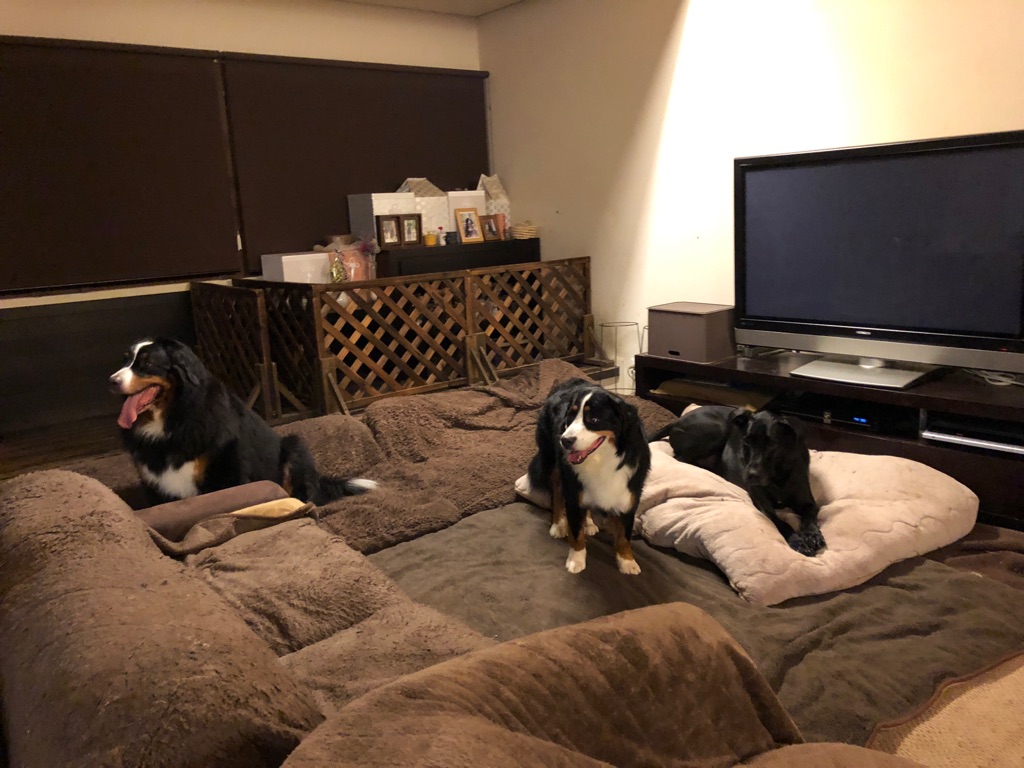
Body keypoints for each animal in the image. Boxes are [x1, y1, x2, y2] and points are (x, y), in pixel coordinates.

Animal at [109, 337, 376, 505]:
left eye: (146, 362)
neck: (174, 417)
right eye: (125, 361)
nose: (112, 381)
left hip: (294, 446)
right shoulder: (157, 486)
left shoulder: (227, 474)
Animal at [527, 378, 651, 575]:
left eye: (593, 420)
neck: (602, 460)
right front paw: (576, 560)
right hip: (552, 463)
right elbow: (576, 533)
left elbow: (624, 536)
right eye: (570, 418)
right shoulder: (573, 494)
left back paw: (590, 523)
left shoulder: (628, 497)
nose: (565, 440)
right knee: (556, 495)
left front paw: (627, 561)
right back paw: (558, 525)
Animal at [650, 405, 825, 556]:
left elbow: (810, 514)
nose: (751, 475)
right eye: (746, 441)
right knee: (679, 459)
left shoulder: (806, 499)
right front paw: (797, 541)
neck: (777, 476)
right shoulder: (762, 503)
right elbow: (780, 522)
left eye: (772, 444)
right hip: (718, 429)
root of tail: (676, 421)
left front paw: (812, 535)